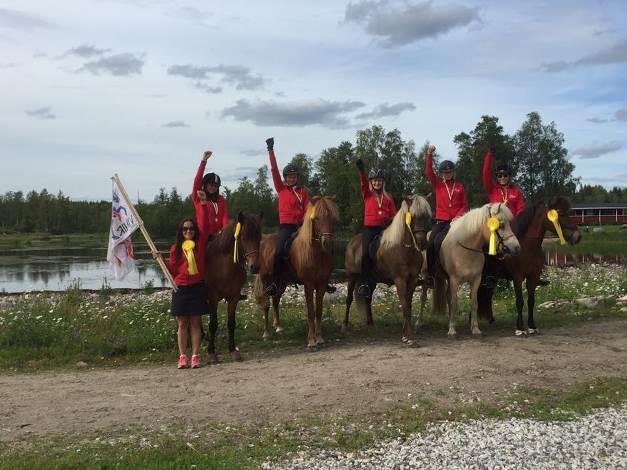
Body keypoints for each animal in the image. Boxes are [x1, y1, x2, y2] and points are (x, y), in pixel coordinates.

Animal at [205, 213, 262, 364]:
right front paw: (211, 353)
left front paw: (233, 350)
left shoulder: (234, 298)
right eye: (244, 237)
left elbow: (231, 323)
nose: (255, 267)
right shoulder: (212, 298)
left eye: (259, 236)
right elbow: (213, 324)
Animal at [253, 196, 338, 346]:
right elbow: (310, 311)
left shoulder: (322, 284)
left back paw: (278, 327)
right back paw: (266, 333)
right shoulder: (309, 284)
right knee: (266, 304)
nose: (327, 243)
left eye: (333, 218)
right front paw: (311, 340)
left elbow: (319, 310)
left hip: (281, 282)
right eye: (316, 218)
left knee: (275, 299)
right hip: (265, 279)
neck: (314, 252)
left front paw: (319, 337)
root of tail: (264, 242)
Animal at [344, 193, 432, 344]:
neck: (404, 248)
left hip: (371, 280)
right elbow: (404, 305)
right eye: (413, 217)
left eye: (427, 216)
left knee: (368, 299)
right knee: (349, 298)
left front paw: (405, 334)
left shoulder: (413, 279)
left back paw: (370, 323)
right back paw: (345, 325)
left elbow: (408, 305)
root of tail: (352, 241)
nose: (422, 243)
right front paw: (409, 337)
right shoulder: (400, 279)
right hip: (352, 276)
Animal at [430, 202, 524, 338]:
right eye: (501, 225)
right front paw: (452, 330)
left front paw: (475, 328)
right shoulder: (454, 280)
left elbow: (474, 303)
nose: (516, 247)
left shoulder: (476, 280)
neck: (465, 249)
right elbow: (454, 303)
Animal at [480, 196, 584, 336]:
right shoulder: (518, 278)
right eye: (561, 214)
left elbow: (531, 301)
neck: (527, 246)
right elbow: (519, 302)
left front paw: (532, 326)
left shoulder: (533, 277)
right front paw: (520, 328)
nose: (577, 236)